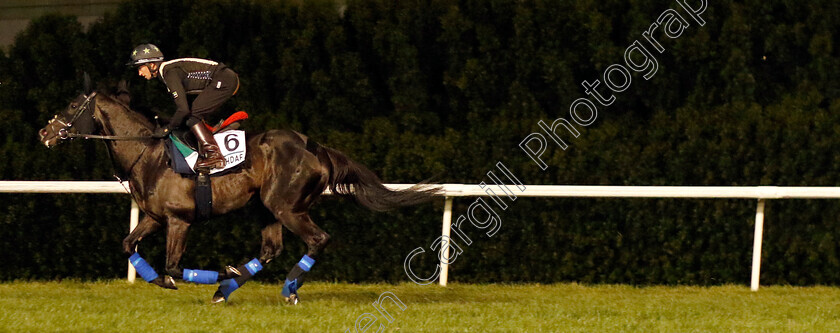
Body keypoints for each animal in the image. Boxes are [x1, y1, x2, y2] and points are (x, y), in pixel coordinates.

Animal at [38, 86, 436, 304]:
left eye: (72, 106)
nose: (45, 133)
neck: (148, 154)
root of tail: (315, 147)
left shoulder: (179, 221)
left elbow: (174, 267)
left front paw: (213, 273)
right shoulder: (153, 217)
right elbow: (128, 245)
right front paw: (167, 280)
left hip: (286, 207)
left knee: (317, 239)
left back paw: (286, 289)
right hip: (266, 209)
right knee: (270, 250)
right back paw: (227, 289)